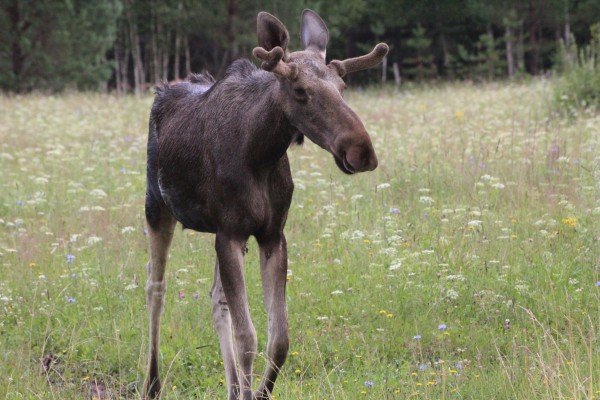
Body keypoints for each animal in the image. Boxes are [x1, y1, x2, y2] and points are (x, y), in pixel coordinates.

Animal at [144, 7, 390, 398]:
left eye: (343, 88)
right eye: (301, 91)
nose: (362, 151)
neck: (259, 153)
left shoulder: (271, 234)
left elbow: (279, 340)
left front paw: (256, 392)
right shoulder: (229, 233)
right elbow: (248, 337)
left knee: (216, 299)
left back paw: (232, 388)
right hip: (157, 206)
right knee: (156, 289)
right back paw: (152, 384)